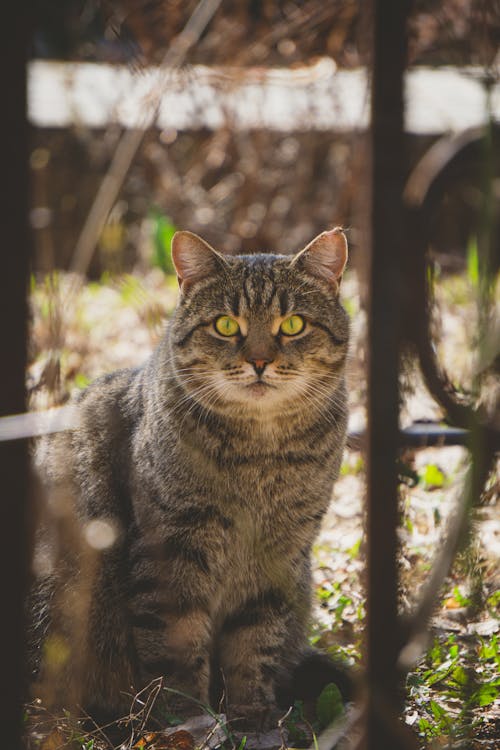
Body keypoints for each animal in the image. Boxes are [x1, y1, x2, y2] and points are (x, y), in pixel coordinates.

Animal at [30, 228, 352, 728]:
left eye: (294, 325)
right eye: (226, 326)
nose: (260, 361)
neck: (261, 453)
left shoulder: (282, 551)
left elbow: (255, 642)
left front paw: (252, 715)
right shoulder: (172, 546)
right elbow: (176, 648)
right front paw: (186, 721)